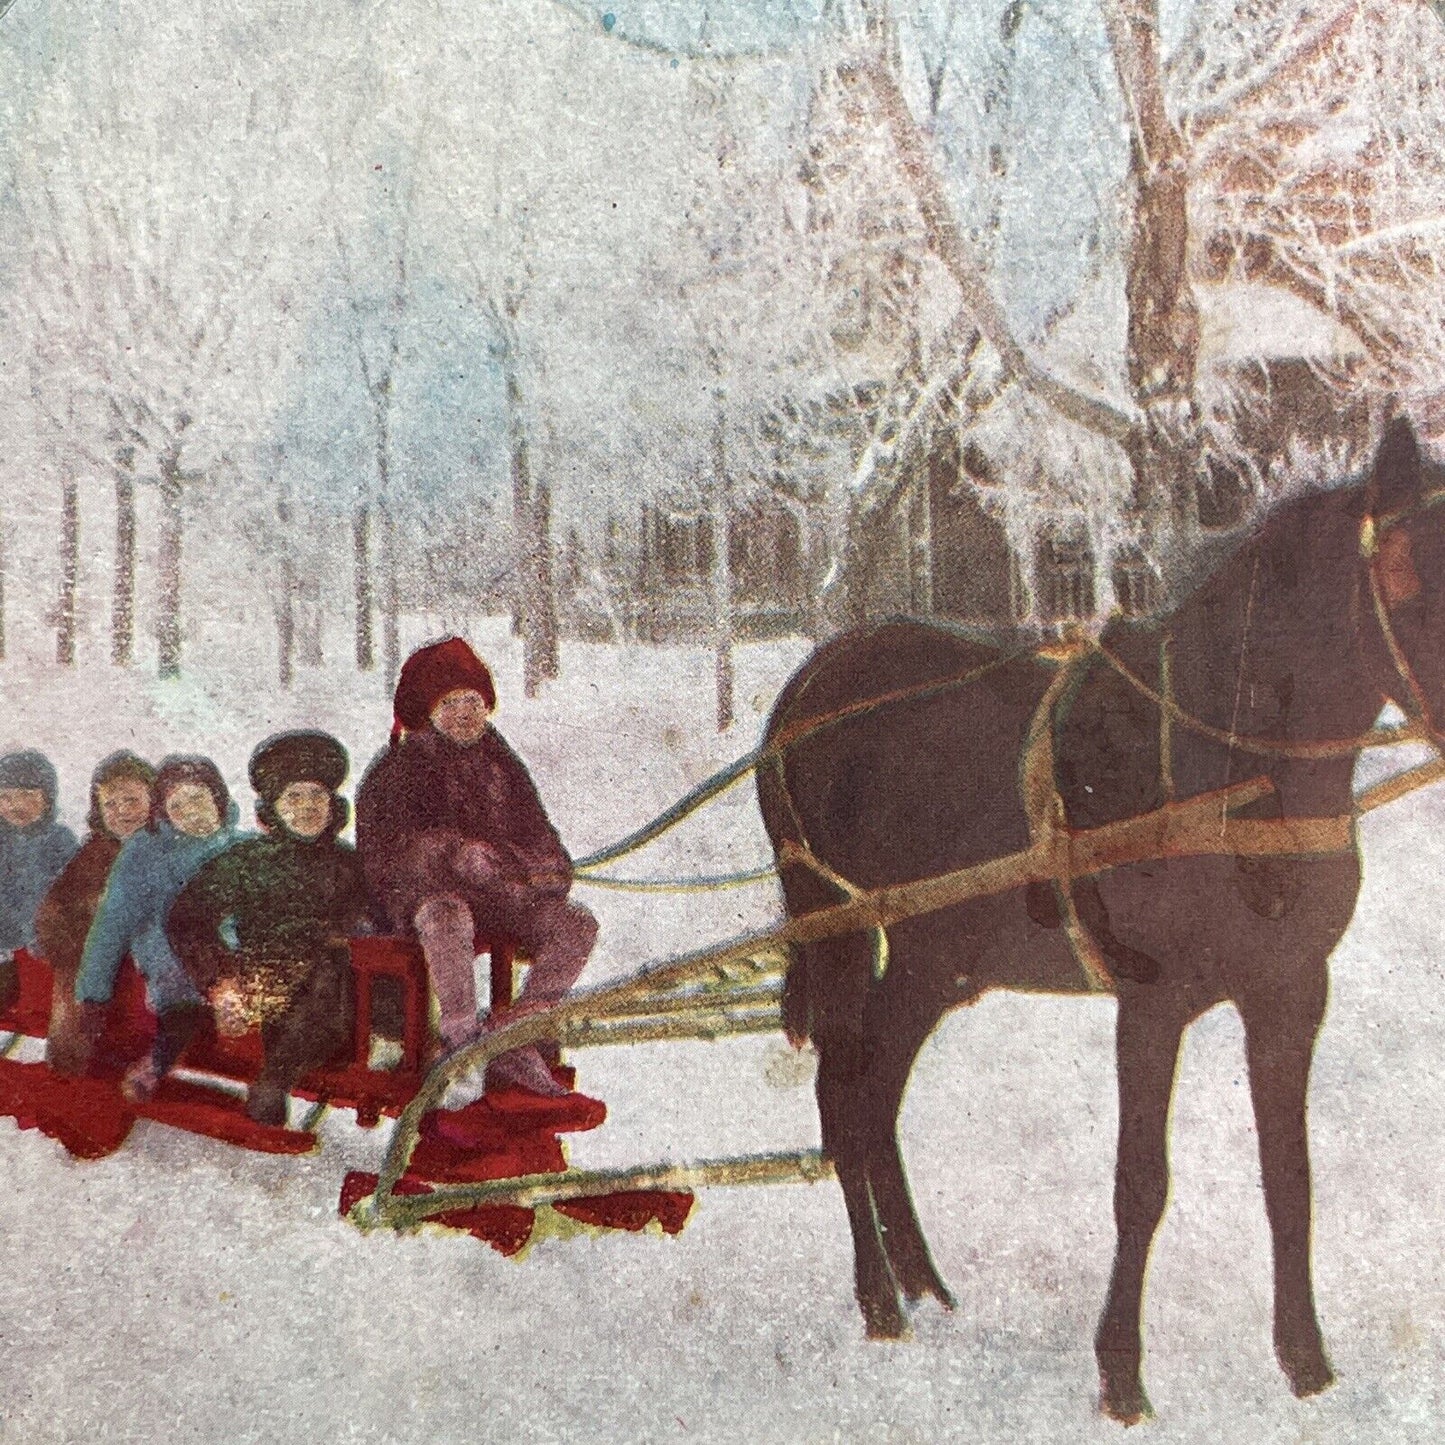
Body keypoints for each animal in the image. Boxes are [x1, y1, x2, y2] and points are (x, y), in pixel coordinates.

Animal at [757, 419, 1445, 1421]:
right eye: (1404, 576)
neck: (1225, 770)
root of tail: (812, 679)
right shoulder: (1151, 1002)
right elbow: (1140, 1184)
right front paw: (1120, 1376)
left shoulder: (1289, 992)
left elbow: (1289, 1180)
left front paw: (1307, 1367)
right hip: (839, 931)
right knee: (844, 1099)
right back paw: (881, 1304)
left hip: (935, 959)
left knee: (876, 1095)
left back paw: (921, 1281)